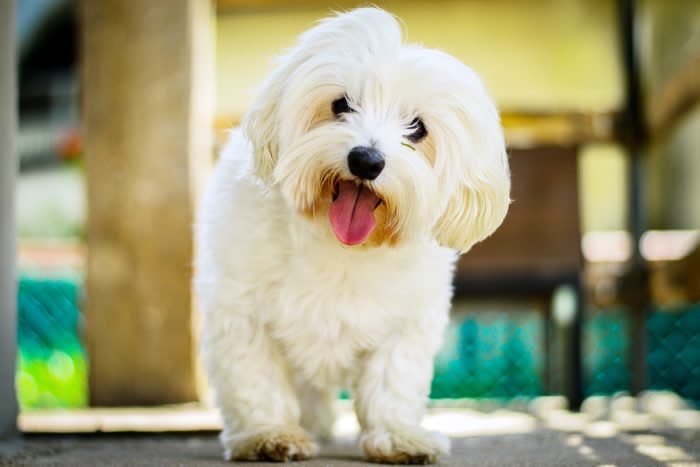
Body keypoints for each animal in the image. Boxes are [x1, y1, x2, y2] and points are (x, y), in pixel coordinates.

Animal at [194, 6, 512, 464]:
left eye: (417, 127)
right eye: (341, 105)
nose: (366, 160)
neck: (341, 246)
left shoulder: (407, 320)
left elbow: (393, 380)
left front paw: (397, 435)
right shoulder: (240, 309)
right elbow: (255, 377)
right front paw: (268, 433)